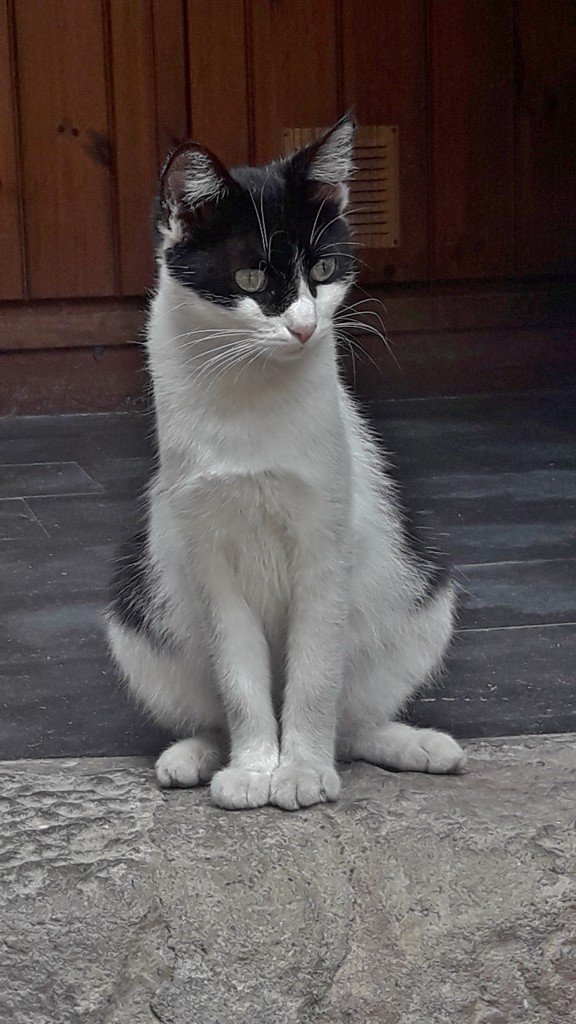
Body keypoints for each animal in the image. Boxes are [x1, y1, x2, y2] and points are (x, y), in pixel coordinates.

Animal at [105, 116, 463, 811]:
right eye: (249, 280)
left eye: (323, 267)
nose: (303, 326)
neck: (251, 396)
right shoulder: (209, 554)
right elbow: (239, 678)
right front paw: (253, 769)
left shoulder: (325, 545)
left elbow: (316, 676)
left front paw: (299, 770)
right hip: (135, 619)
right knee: (213, 709)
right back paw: (194, 755)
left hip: (424, 600)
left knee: (352, 722)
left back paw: (410, 744)